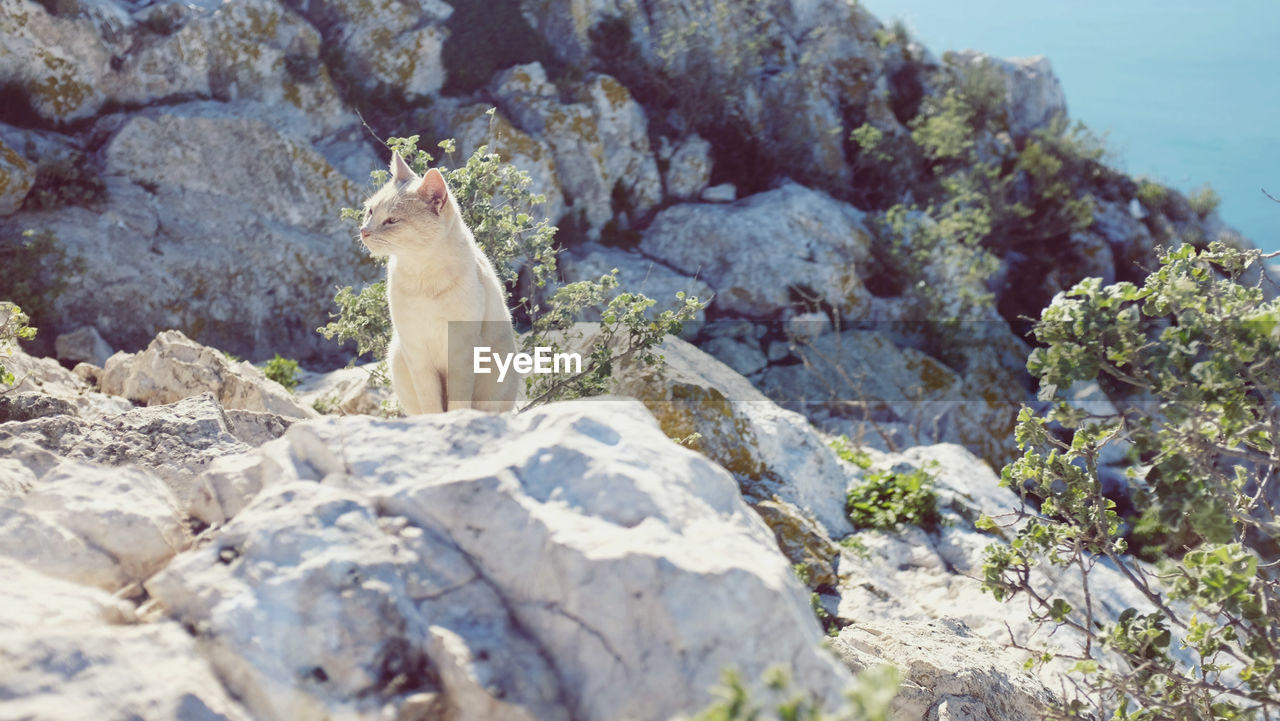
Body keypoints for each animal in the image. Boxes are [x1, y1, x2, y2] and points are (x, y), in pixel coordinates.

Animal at [358, 149, 517, 414]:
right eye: (370, 211)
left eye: (391, 221)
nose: (364, 231)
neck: (423, 275)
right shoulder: (417, 355)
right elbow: (431, 404)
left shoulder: (461, 354)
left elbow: (458, 402)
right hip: (398, 357)